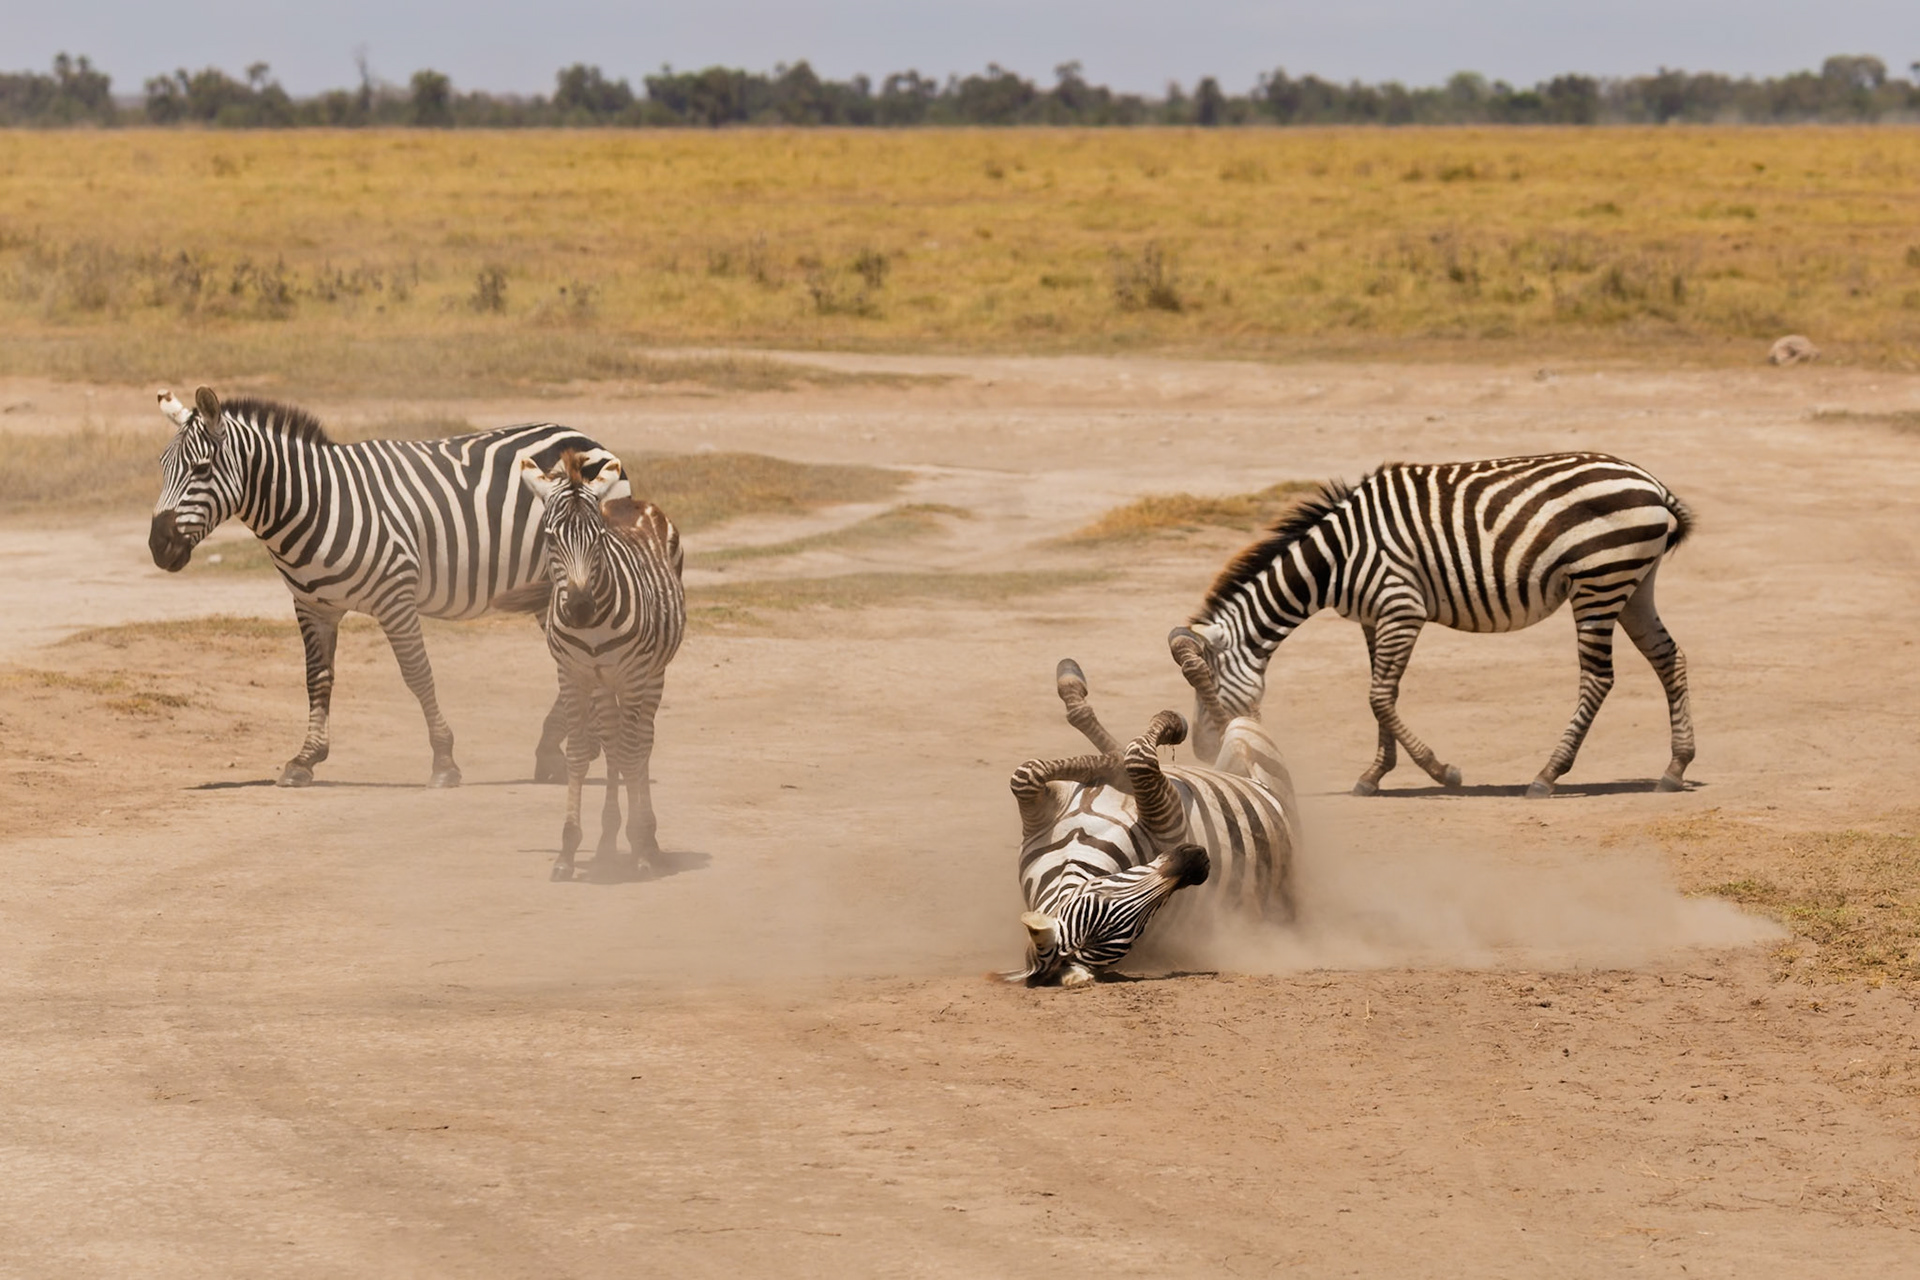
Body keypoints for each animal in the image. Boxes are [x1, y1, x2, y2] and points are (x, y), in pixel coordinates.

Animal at [149, 386, 626, 788]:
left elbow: (418, 674)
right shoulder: (312, 606)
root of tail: (581, 435)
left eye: (201, 469)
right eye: (161, 468)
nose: (158, 545)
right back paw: (560, 751)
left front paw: (444, 761)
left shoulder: (395, 596)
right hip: (550, 590)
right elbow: (317, 679)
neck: (316, 503)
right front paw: (305, 759)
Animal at [517, 450, 685, 881]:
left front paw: (641, 847)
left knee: (639, 744)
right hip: (603, 683)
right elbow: (580, 753)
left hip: (651, 675)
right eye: (549, 538)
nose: (579, 608)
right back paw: (609, 838)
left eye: (600, 538)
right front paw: (568, 849)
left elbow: (631, 753)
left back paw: (647, 838)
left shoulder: (634, 675)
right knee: (612, 743)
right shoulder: (572, 674)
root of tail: (629, 501)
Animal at [1005, 643, 1299, 987]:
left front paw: (1105, 763)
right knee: (1225, 724)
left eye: (1098, 890)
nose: (1197, 860)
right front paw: (1160, 731)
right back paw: (1188, 656)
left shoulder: (1038, 815)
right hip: (1252, 749)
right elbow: (1137, 757)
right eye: (1141, 926)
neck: (1073, 851)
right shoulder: (1168, 820)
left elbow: (1027, 772)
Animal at [1178, 451, 1696, 799]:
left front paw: (1441, 771)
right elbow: (1381, 694)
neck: (1336, 559)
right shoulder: (1374, 618)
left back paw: (1547, 774)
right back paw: (1674, 768)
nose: (1203, 752)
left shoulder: (1401, 607)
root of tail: (1653, 484)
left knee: (1598, 678)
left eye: (1208, 687)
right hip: (1633, 581)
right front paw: (1375, 775)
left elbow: (1379, 696)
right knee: (1668, 657)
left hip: (1599, 580)